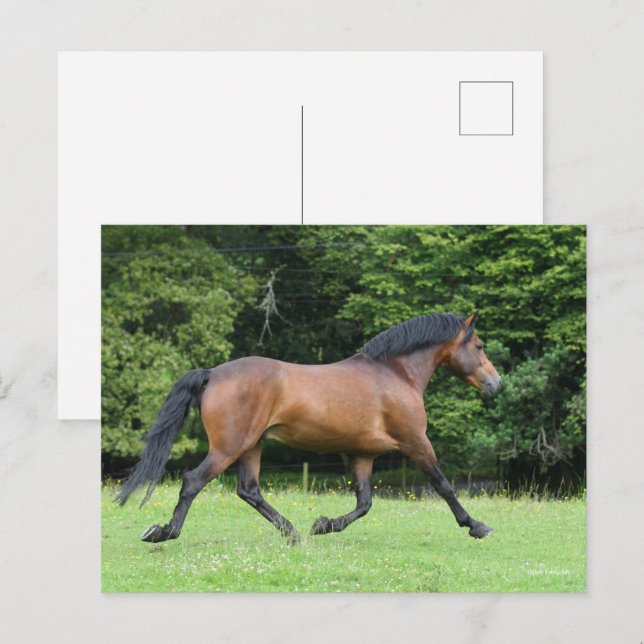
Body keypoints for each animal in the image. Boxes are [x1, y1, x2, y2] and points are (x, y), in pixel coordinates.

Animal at [116, 311, 502, 544]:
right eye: (480, 345)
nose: (495, 384)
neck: (394, 373)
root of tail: (212, 373)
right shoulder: (416, 442)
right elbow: (443, 485)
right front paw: (476, 526)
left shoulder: (362, 454)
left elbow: (364, 503)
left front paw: (324, 525)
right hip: (227, 448)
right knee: (194, 481)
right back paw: (163, 532)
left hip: (251, 446)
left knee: (249, 490)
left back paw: (294, 533)